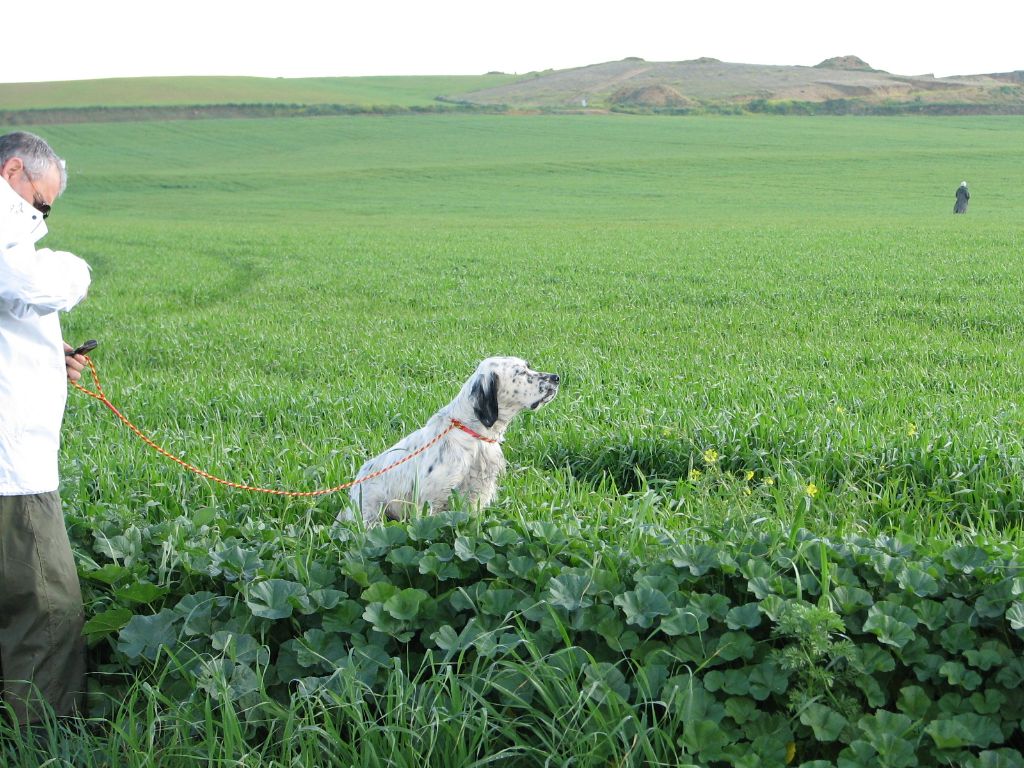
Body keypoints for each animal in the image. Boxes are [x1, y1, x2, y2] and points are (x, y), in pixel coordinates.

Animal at [348, 358, 565, 528]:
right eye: (521, 372)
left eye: (529, 366)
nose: (556, 377)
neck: (473, 434)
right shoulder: (431, 501)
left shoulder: (475, 495)